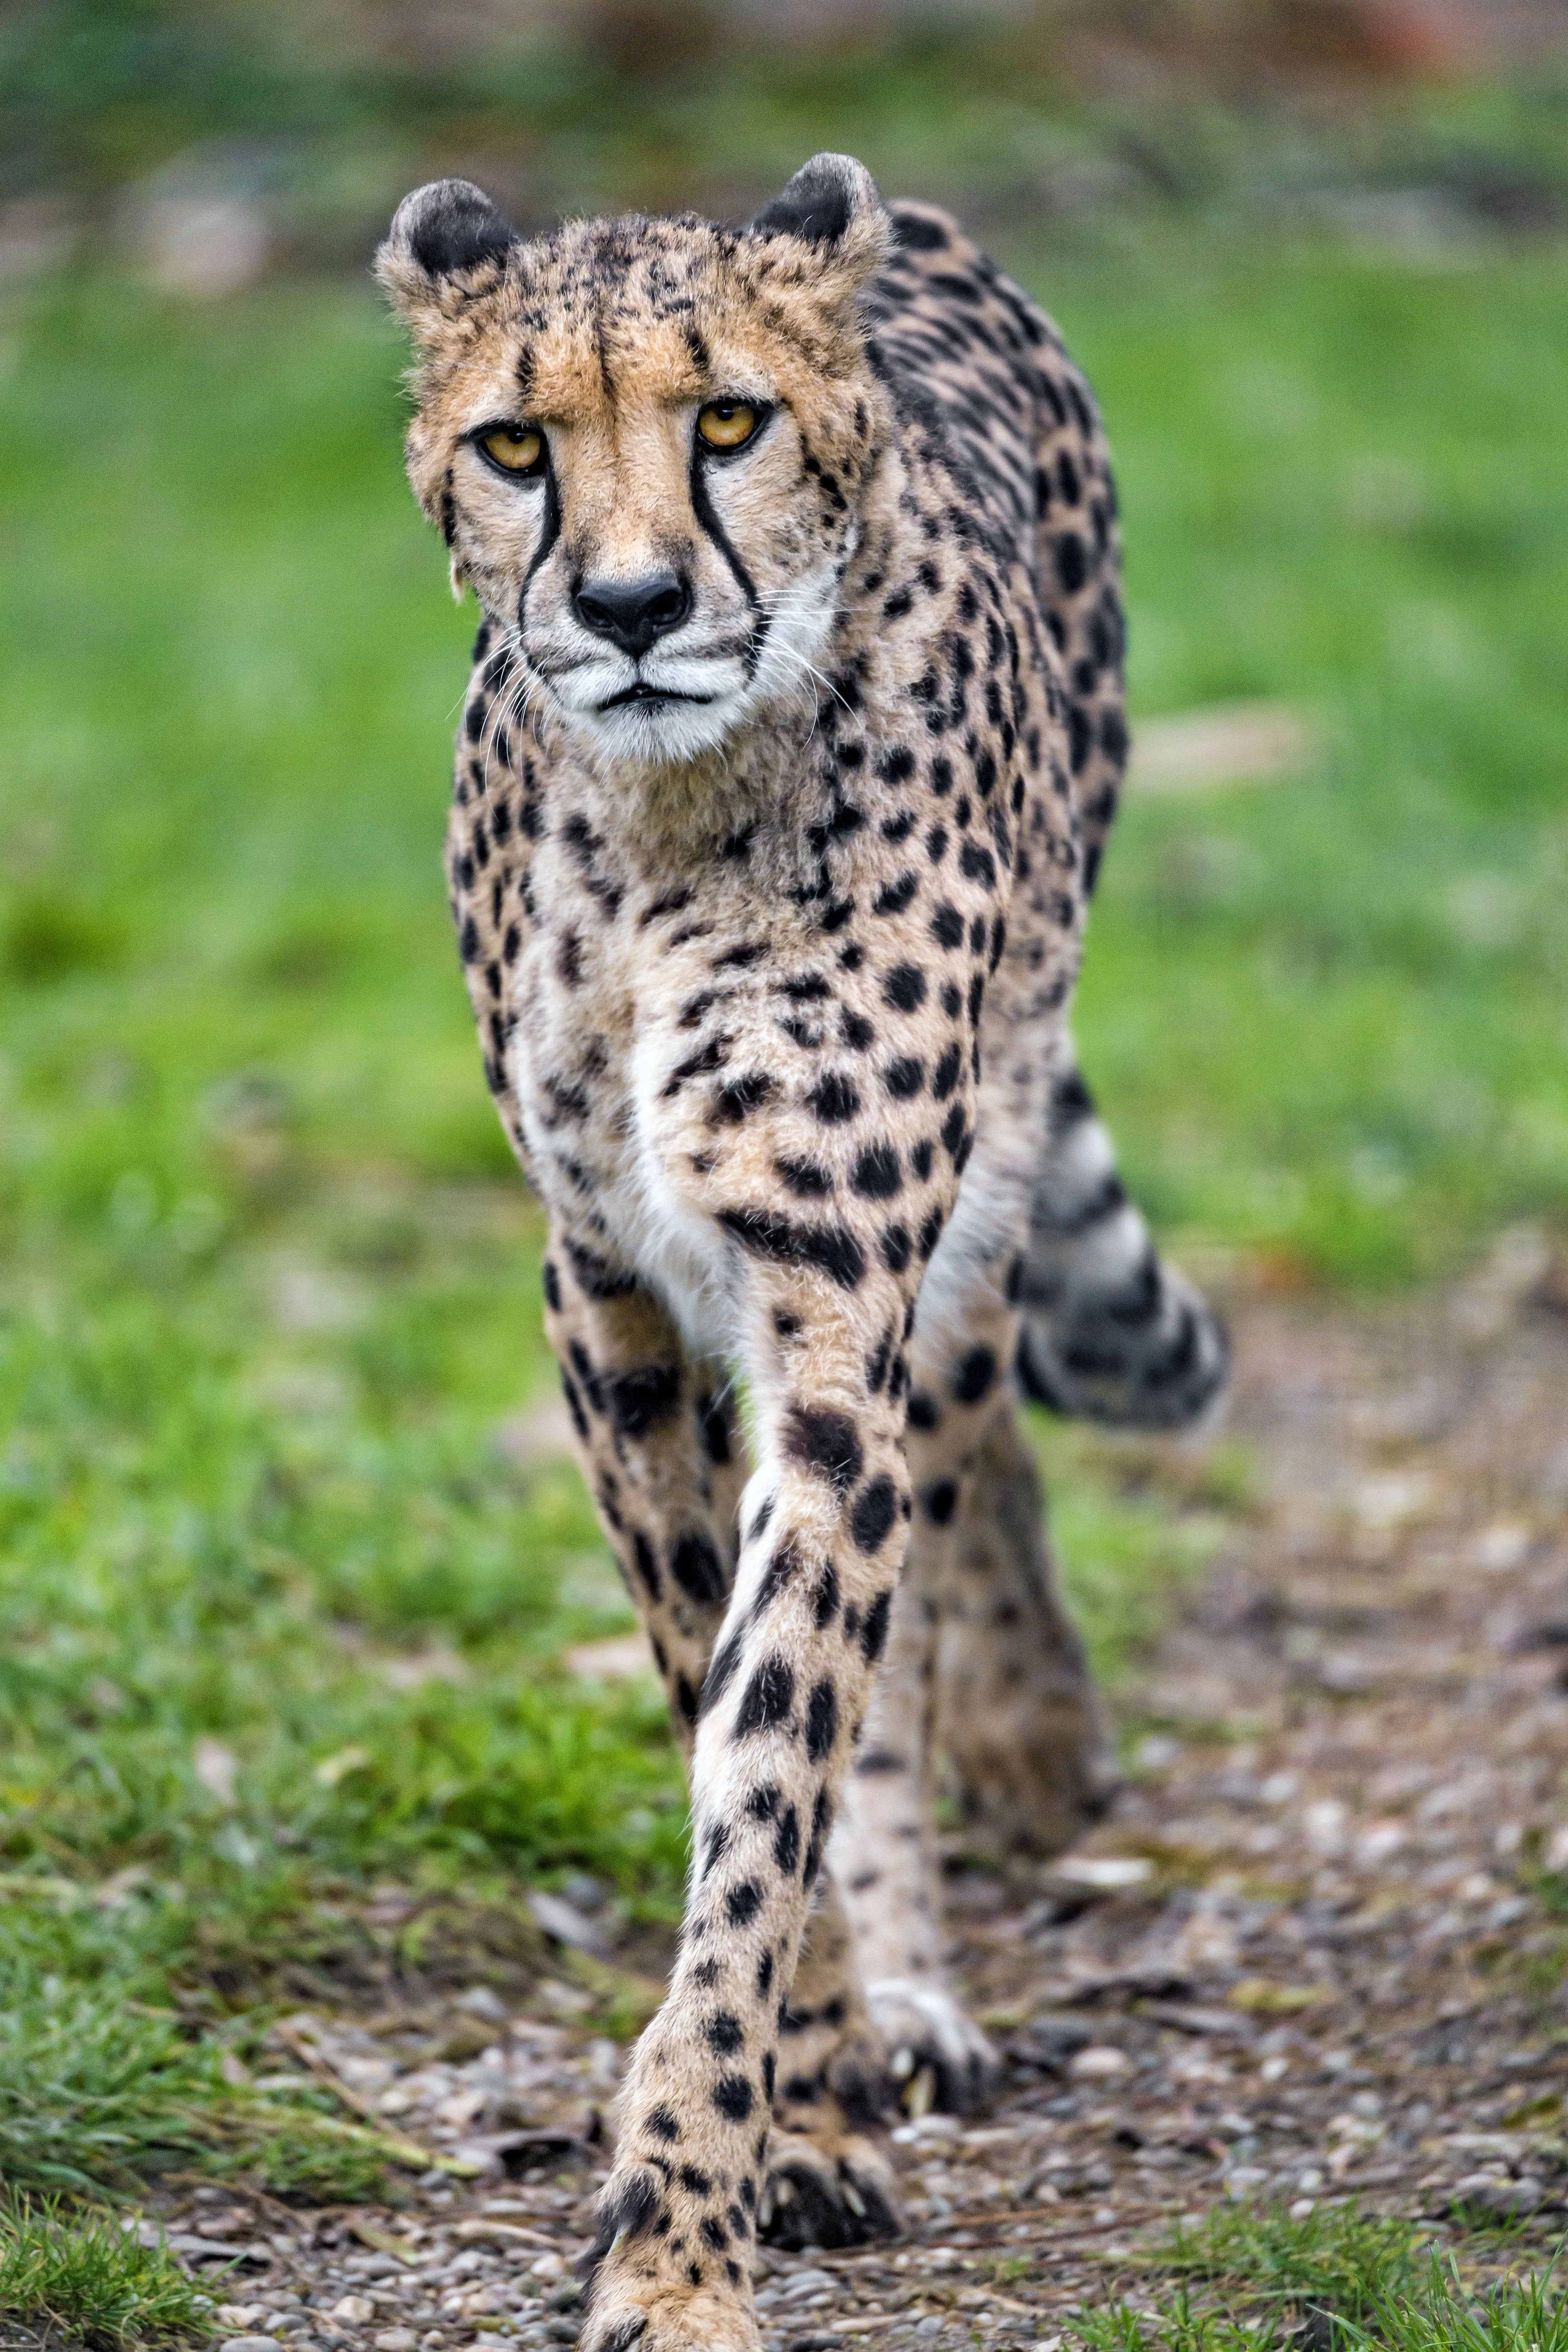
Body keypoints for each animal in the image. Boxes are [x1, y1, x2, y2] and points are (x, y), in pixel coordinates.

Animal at [378, 153, 1226, 2352]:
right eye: (516, 445)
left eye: (728, 420)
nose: (629, 609)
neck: (663, 814)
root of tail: (907, 211)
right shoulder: (602, 1294)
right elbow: (717, 1695)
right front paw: (807, 2105)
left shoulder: (833, 1312)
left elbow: (779, 1770)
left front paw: (685, 2241)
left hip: (982, 1166)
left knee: (965, 1444)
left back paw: (997, 1788)